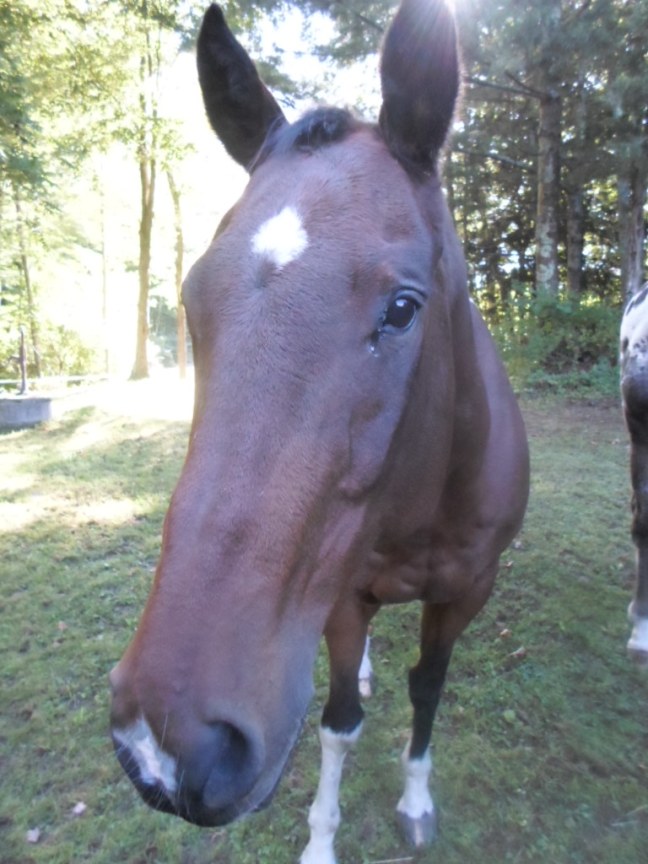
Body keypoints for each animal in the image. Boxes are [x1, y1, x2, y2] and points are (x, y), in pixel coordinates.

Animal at [109, 2, 530, 861]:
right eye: (193, 301)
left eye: (402, 307)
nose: (163, 749)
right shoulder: (340, 598)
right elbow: (340, 724)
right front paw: (322, 840)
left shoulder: (468, 590)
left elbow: (426, 690)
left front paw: (415, 801)